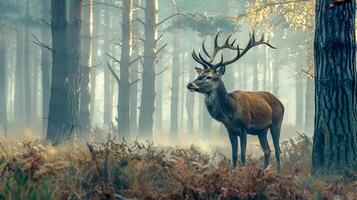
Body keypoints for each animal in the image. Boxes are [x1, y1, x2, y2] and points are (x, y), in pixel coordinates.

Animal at [186, 31, 284, 172]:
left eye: (209, 77)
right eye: (199, 75)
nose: (190, 84)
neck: (230, 111)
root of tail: (280, 102)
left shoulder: (244, 128)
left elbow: (242, 155)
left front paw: (242, 173)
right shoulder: (230, 130)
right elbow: (233, 155)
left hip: (277, 123)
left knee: (277, 150)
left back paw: (278, 173)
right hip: (262, 130)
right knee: (267, 150)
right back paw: (265, 171)